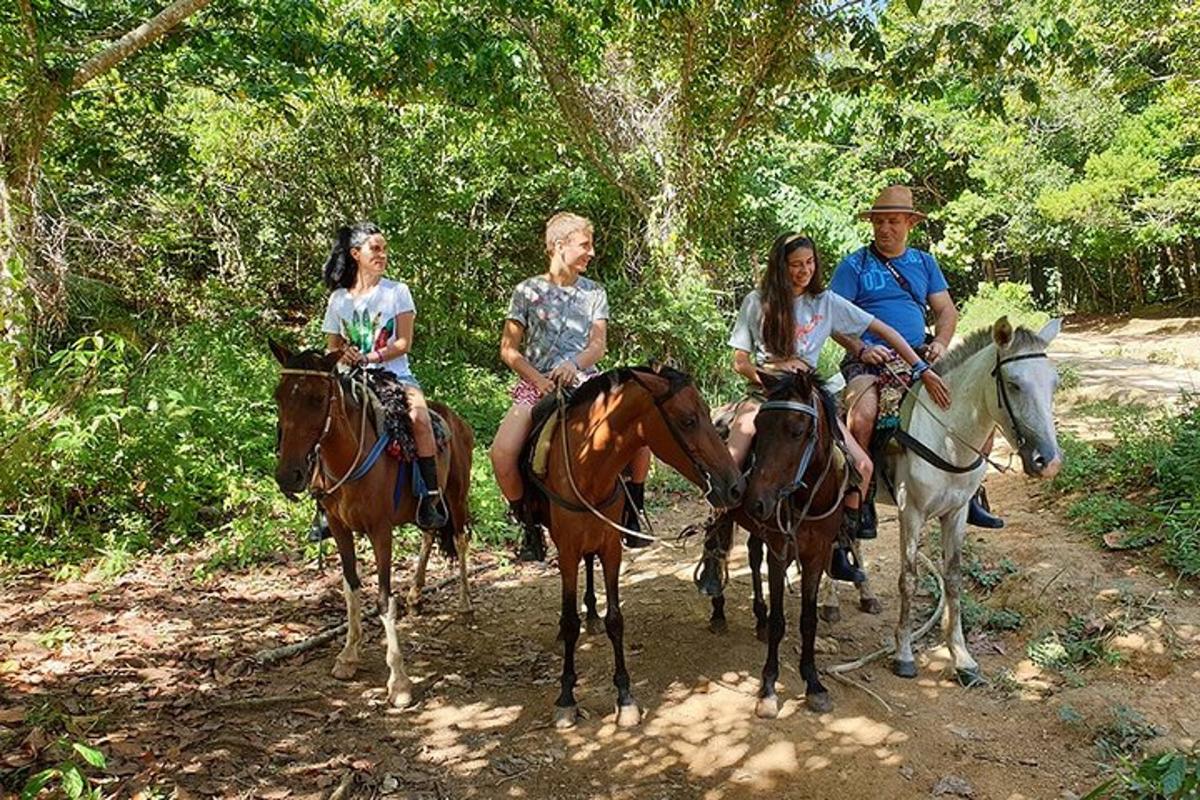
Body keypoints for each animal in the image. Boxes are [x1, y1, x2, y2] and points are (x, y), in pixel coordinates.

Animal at [271, 340, 472, 710]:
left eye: (317, 398)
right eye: (279, 396)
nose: (288, 476)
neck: (349, 455)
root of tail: (454, 418)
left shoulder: (381, 530)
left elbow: (381, 599)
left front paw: (399, 682)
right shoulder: (339, 528)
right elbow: (351, 588)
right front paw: (348, 655)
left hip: (456, 494)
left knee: (461, 539)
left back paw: (465, 603)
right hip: (429, 506)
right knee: (430, 531)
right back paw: (416, 595)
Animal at [532, 367, 739, 729]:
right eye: (688, 420)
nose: (734, 486)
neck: (588, 466)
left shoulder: (611, 545)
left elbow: (616, 620)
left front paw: (625, 696)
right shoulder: (567, 551)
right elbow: (570, 623)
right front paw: (566, 697)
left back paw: (592, 614)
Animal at [700, 371, 849, 719]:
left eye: (796, 431)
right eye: (759, 427)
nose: (755, 500)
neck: (807, 498)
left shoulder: (816, 554)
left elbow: (808, 621)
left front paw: (814, 683)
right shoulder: (780, 553)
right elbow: (782, 621)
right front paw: (768, 688)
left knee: (753, 556)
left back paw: (759, 618)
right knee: (716, 545)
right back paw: (718, 610)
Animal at [820, 316, 1065, 686]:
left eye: (1054, 384)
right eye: (1014, 384)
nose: (1048, 462)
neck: (946, 436)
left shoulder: (957, 513)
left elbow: (953, 579)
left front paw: (962, 658)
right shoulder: (911, 512)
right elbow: (908, 579)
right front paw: (904, 654)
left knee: (854, 535)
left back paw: (867, 595)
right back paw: (832, 602)